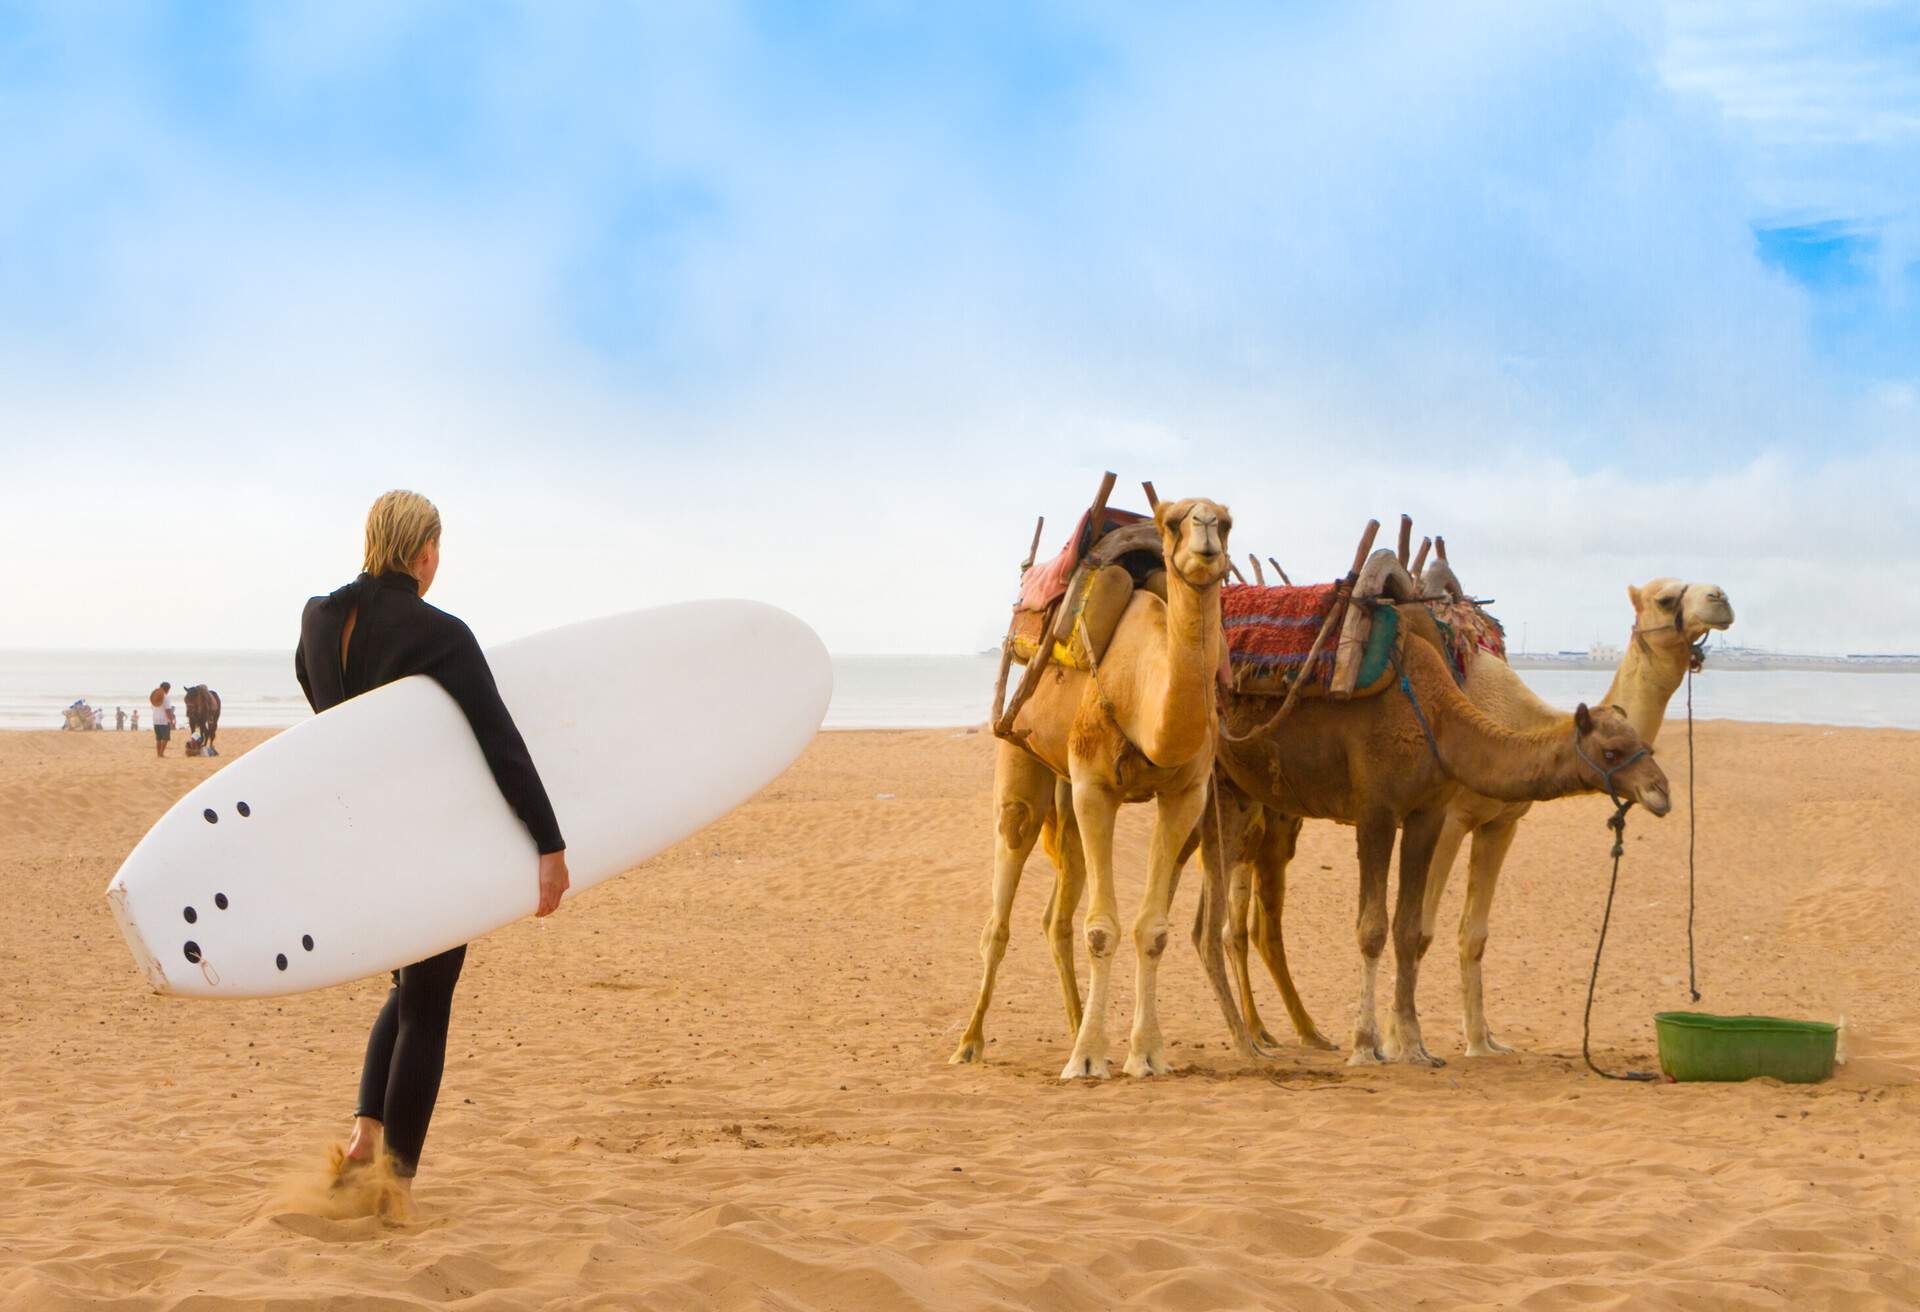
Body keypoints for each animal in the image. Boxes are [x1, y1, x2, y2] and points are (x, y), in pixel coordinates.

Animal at [948, 499, 1251, 1083]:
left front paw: (1145, 1055)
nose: (1205, 529)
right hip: (1022, 761)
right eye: (1173, 522)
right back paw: (969, 1045)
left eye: (1227, 522)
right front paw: (1088, 1060)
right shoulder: (1093, 787)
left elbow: (1152, 929)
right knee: (1001, 910)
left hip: (1065, 798)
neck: (1144, 693)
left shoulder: (1186, 795)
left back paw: (1072, 1028)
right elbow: (1101, 929)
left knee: (1056, 917)